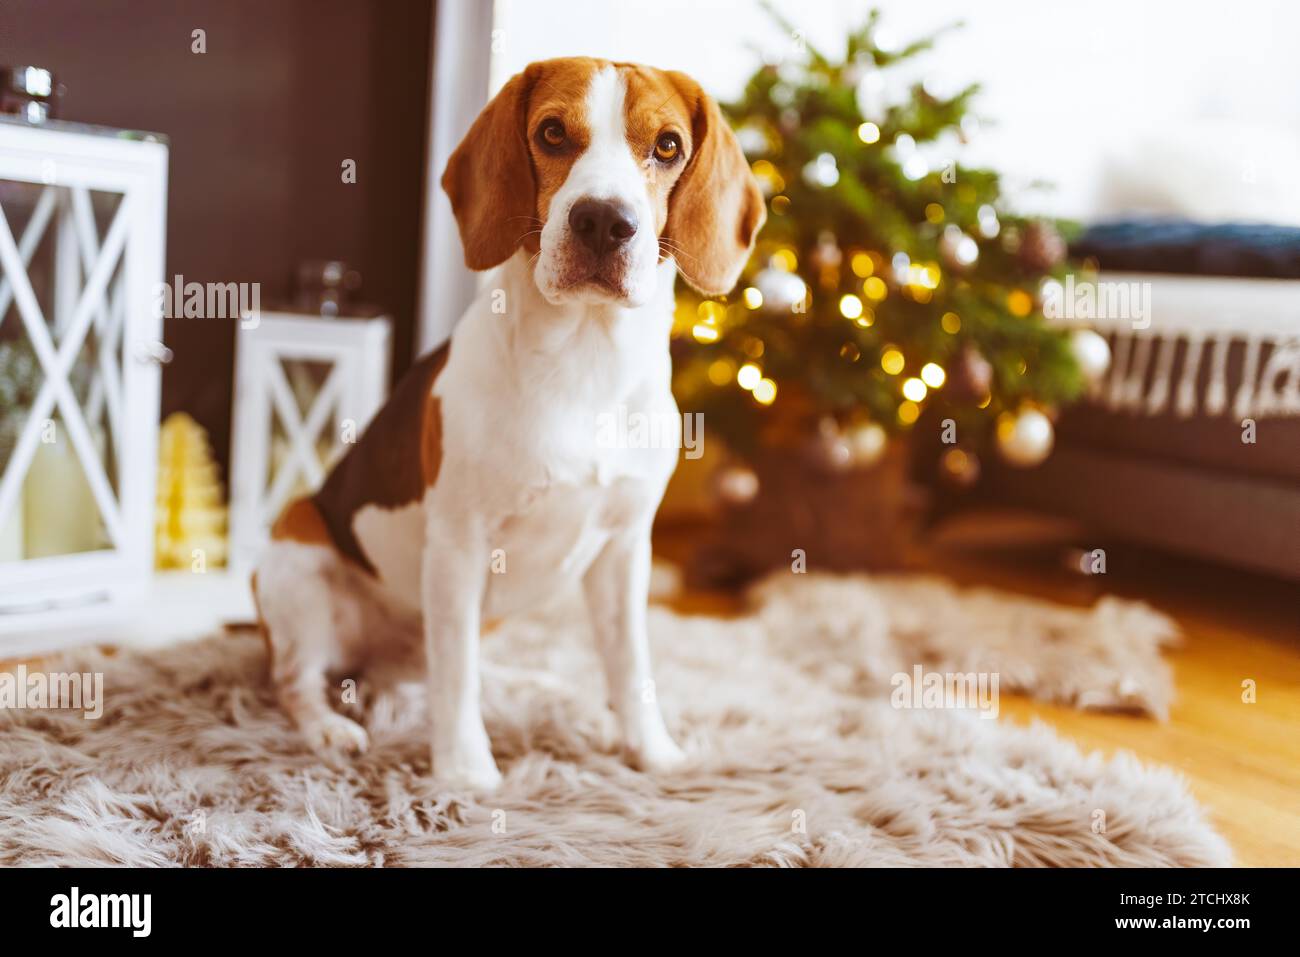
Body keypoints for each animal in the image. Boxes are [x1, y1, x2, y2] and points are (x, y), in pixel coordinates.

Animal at [249, 59, 764, 790]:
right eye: (551, 132)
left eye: (667, 146)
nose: (603, 220)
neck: (585, 363)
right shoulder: (460, 543)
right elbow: (457, 676)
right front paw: (465, 773)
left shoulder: (625, 548)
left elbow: (630, 663)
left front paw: (651, 751)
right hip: (297, 554)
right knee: (298, 680)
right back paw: (329, 726)